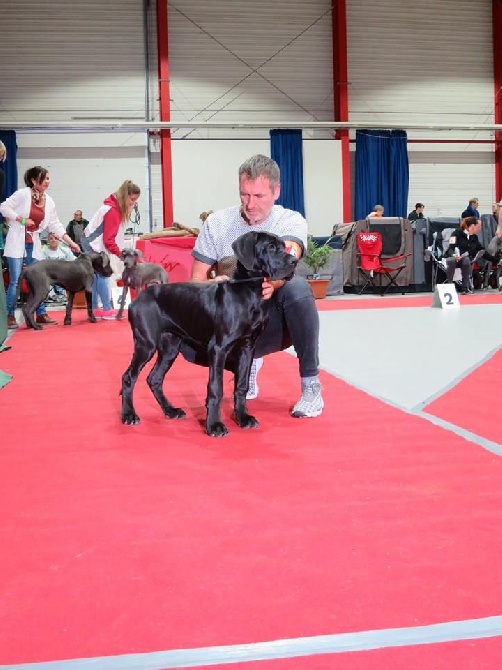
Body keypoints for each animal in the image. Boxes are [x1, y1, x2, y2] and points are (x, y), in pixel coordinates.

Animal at [120, 232, 298, 440]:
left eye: (284, 246)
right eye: (270, 247)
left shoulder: (247, 347)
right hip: (145, 344)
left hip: (170, 346)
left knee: (154, 378)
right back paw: (129, 415)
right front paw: (214, 425)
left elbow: (242, 385)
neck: (249, 292)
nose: (294, 261)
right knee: (128, 377)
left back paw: (170, 410)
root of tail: (137, 298)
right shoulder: (218, 348)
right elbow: (216, 388)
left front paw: (242, 417)